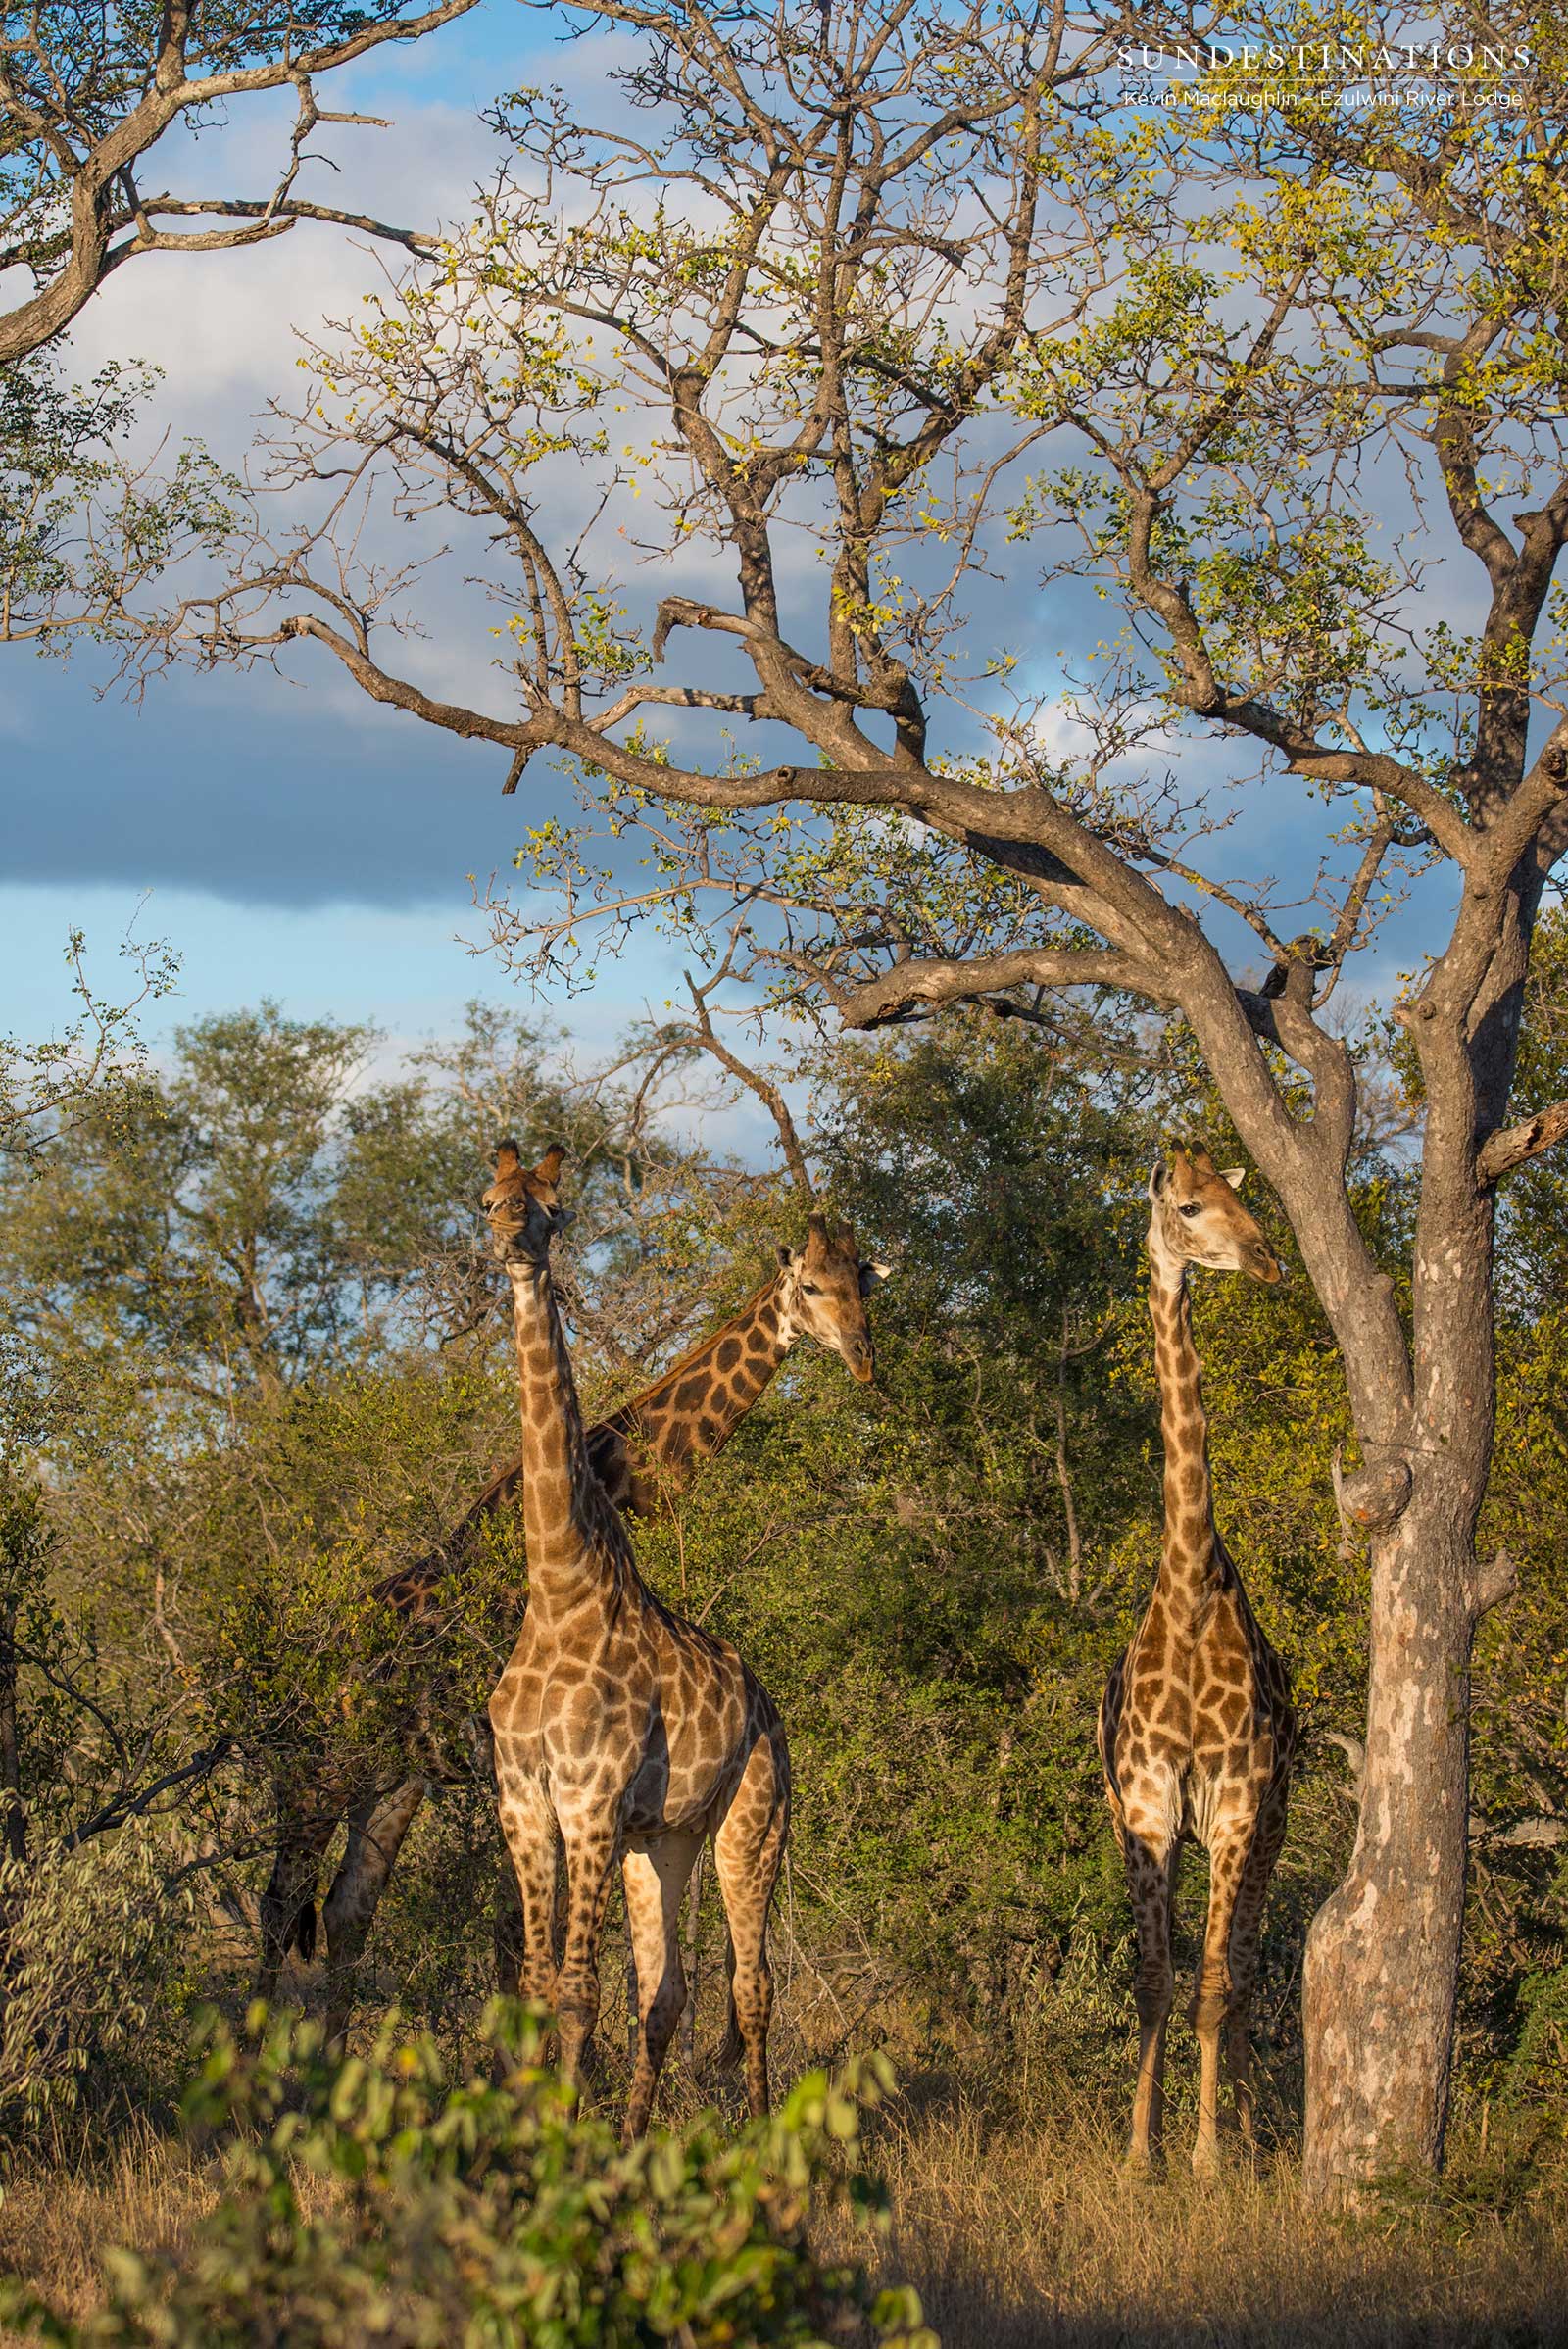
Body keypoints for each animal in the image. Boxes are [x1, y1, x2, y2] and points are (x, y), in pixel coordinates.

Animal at [254, 1208, 880, 2042]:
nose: (862, 1355)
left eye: (861, 1282)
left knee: (345, 1910)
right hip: (318, 1771)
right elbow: (523, 1940)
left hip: (389, 1779)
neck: (616, 1476)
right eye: (810, 1285)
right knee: (278, 1902)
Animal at [484, 1141, 790, 2138]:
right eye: (491, 1197)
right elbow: (538, 1985)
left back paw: (765, 2137)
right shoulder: (523, 1799)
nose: (515, 1237)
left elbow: (576, 1992)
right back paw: (633, 2135)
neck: (558, 1590)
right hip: (664, 1842)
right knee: (669, 1992)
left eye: (556, 1208)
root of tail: (769, 1705)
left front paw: (557, 2136)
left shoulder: (587, 1799)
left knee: (752, 1987)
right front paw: (523, 2133)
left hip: (751, 1826)